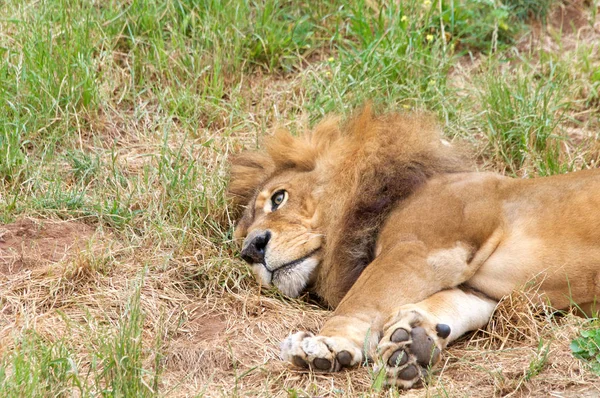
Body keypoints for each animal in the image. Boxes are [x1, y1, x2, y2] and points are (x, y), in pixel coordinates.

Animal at [226, 106, 600, 388]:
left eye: (278, 198)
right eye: (240, 239)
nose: (252, 250)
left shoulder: (419, 248)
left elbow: (360, 300)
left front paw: (325, 343)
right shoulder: (479, 292)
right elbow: (449, 303)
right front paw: (411, 339)